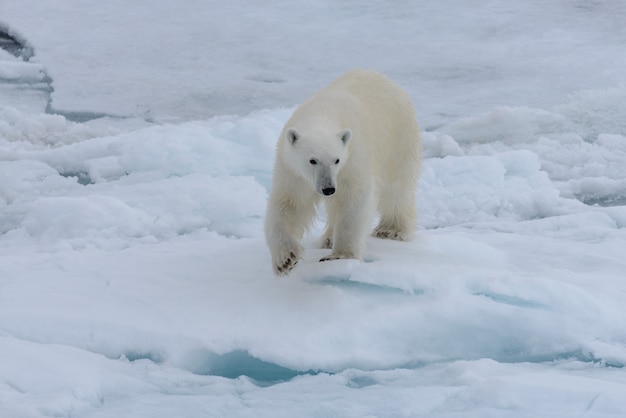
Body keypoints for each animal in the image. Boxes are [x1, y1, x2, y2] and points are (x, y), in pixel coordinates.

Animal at [262, 70, 420, 276]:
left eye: (336, 160)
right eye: (312, 160)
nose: (328, 188)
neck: (323, 114)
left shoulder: (353, 159)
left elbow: (354, 199)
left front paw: (340, 256)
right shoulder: (293, 170)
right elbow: (289, 204)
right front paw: (286, 258)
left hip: (399, 137)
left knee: (397, 188)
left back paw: (392, 230)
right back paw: (328, 238)